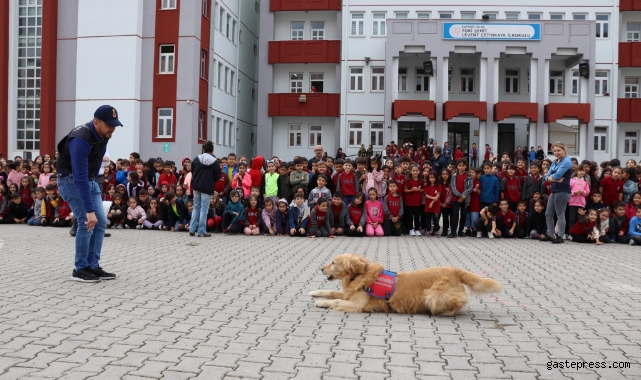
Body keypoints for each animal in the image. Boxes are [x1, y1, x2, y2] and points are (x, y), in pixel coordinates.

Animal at [310, 255, 500, 314]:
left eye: (333, 262)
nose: (320, 268)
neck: (359, 275)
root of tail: (456, 270)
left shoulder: (358, 304)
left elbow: (336, 300)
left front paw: (321, 302)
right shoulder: (349, 293)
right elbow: (332, 293)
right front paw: (315, 292)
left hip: (432, 297)